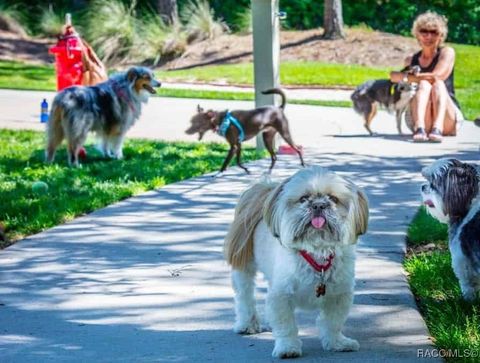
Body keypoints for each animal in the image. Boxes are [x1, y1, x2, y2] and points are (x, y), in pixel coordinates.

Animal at [223, 167, 370, 358]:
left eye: (333, 199)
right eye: (303, 199)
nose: (318, 205)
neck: (317, 252)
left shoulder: (339, 296)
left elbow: (333, 322)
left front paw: (337, 343)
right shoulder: (281, 296)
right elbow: (286, 325)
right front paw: (287, 347)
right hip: (244, 267)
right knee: (244, 296)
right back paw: (247, 324)